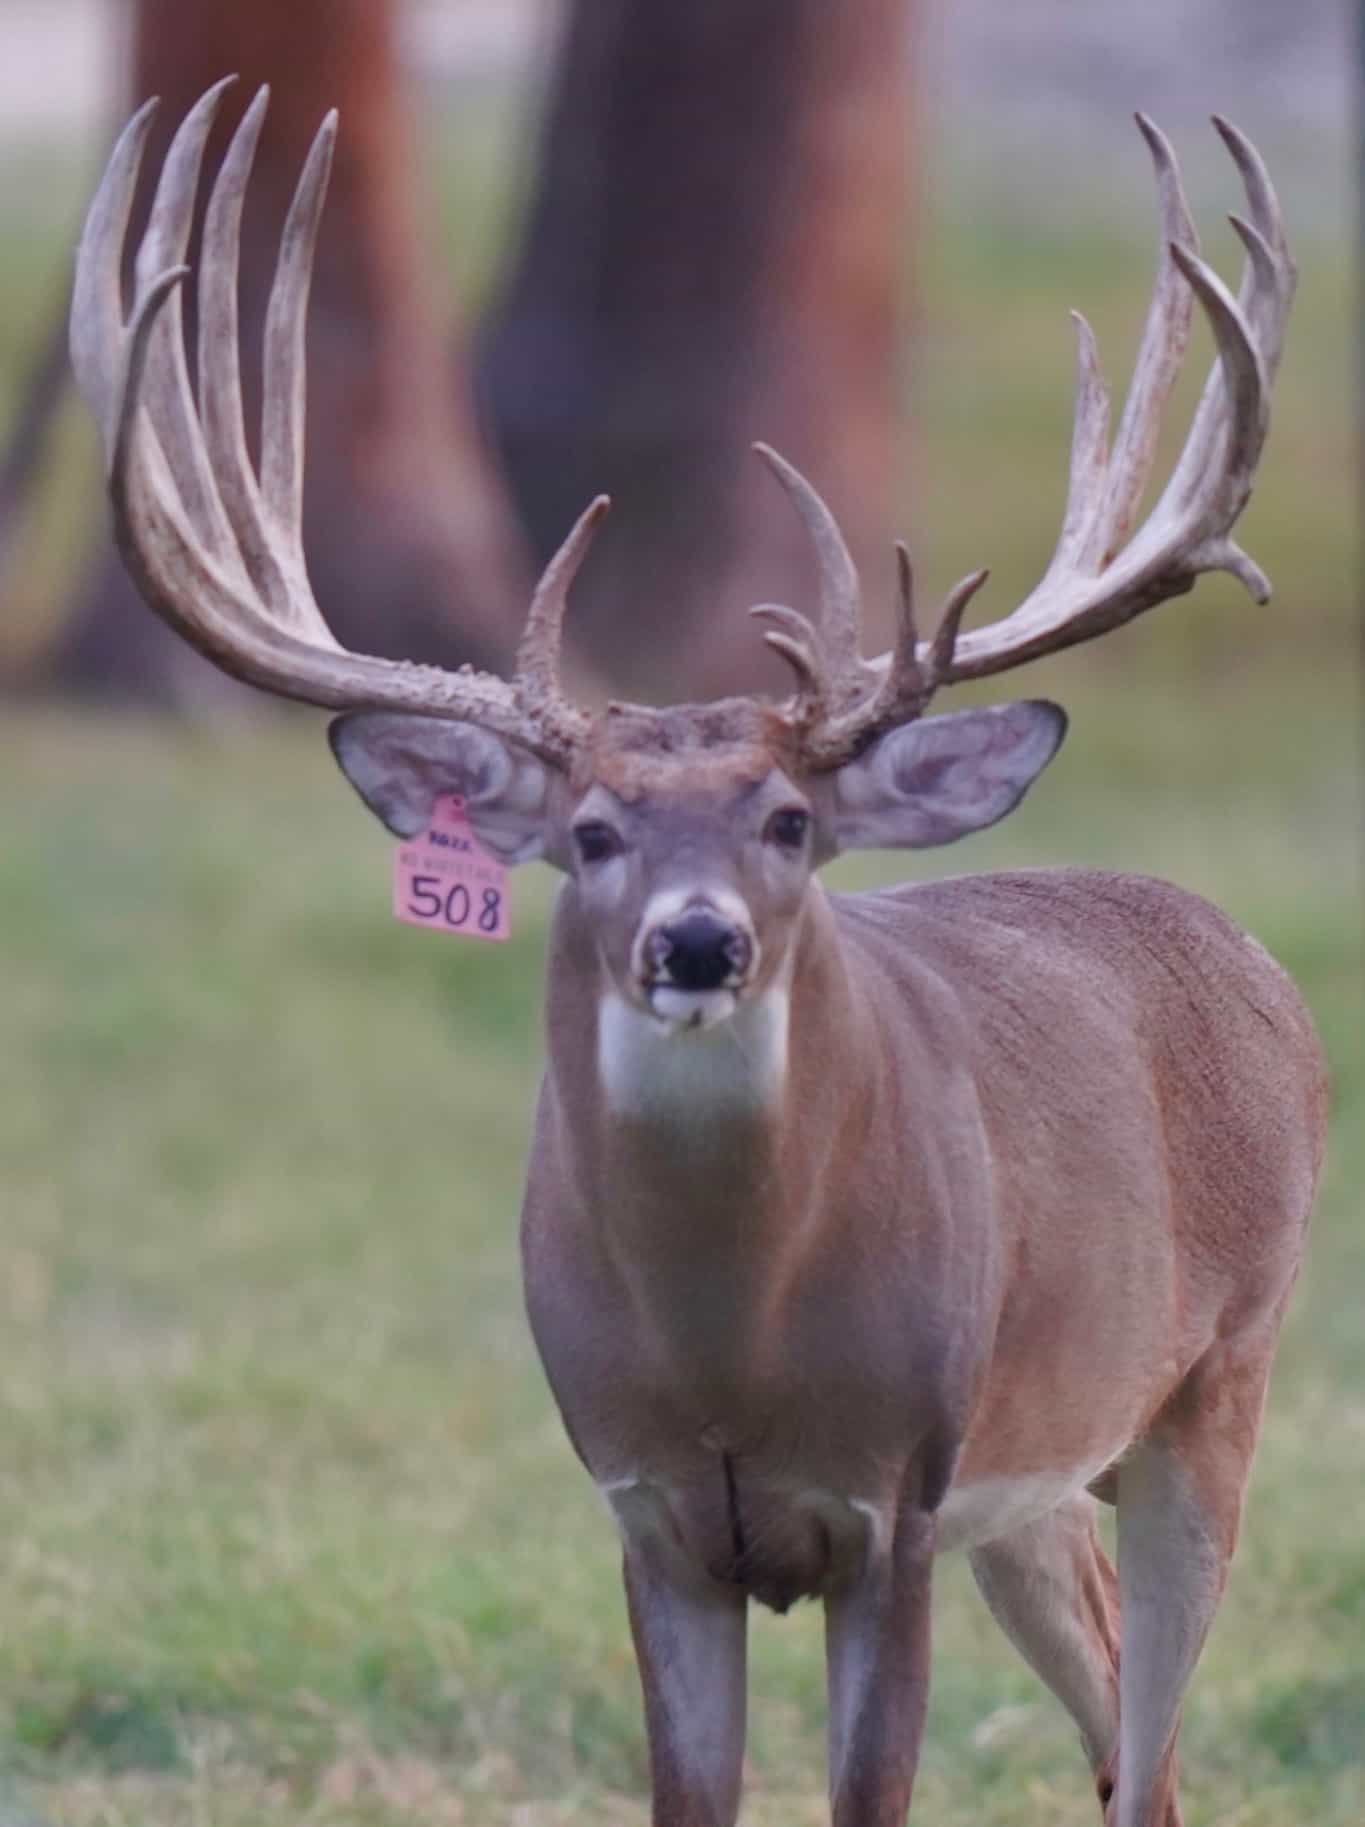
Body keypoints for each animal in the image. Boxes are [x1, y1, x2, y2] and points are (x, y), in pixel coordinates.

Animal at [71, 81, 1324, 1827]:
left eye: (789, 818)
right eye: (593, 831)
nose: (697, 937)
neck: (730, 1350)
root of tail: (1245, 954)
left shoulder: (894, 1497)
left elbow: (872, 1792)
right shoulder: (647, 1509)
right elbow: (687, 1793)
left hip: (1217, 1380)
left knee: (1149, 1747)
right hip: (1040, 1482)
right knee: (1120, 1720)